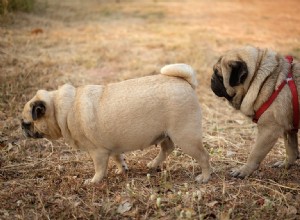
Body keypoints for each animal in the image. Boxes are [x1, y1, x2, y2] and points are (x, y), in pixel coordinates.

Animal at [21, 64, 213, 184]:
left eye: (27, 123)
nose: (22, 128)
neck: (63, 109)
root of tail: (185, 82)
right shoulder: (111, 147)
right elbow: (118, 158)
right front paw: (122, 170)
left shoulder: (98, 152)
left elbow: (99, 169)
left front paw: (94, 181)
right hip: (167, 134)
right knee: (167, 148)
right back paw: (153, 164)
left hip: (185, 137)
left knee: (203, 157)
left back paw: (204, 177)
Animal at [211, 45, 300, 178]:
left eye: (220, 76)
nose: (212, 79)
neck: (261, 81)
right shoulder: (288, 128)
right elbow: (291, 149)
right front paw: (286, 164)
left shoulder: (268, 131)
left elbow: (255, 154)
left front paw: (244, 171)